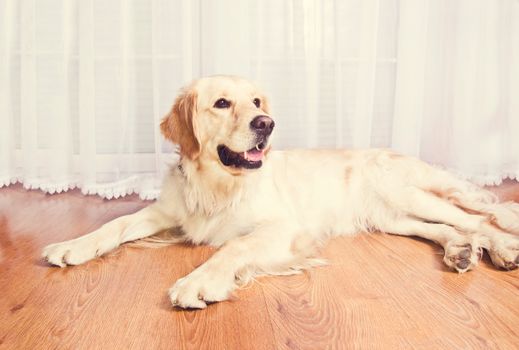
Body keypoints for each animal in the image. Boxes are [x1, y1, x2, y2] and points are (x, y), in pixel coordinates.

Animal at [41, 74, 519, 308]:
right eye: (222, 103)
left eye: (257, 103)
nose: (266, 125)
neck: (219, 184)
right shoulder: (168, 213)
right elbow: (116, 223)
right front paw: (72, 246)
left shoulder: (282, 228)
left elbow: (233, 248)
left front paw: (199, 282)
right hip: (393, 217)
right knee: (449, 228)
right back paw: (460, 251)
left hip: (406, 193)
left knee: (478, 217)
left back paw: (501, 249)